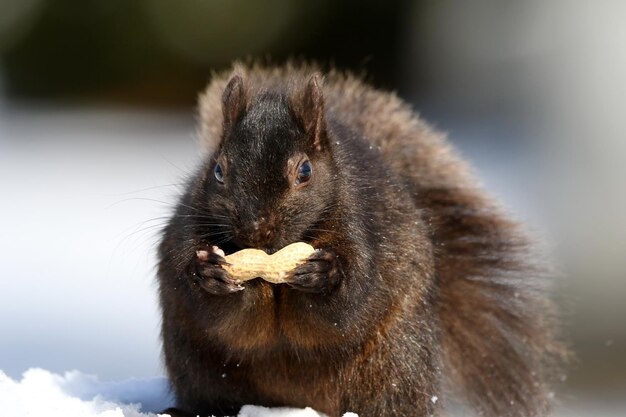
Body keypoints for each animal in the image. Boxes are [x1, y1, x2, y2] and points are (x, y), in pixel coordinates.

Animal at [157, 62, 564, 416]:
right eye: (218, 170)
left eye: (305, 171)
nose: (257, 229)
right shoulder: (188, 232)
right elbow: (222, 318)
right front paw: (211, 274)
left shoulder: (364, 233)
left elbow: (348, 305)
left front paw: (324, 275)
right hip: (197, 364)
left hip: (396, 366)